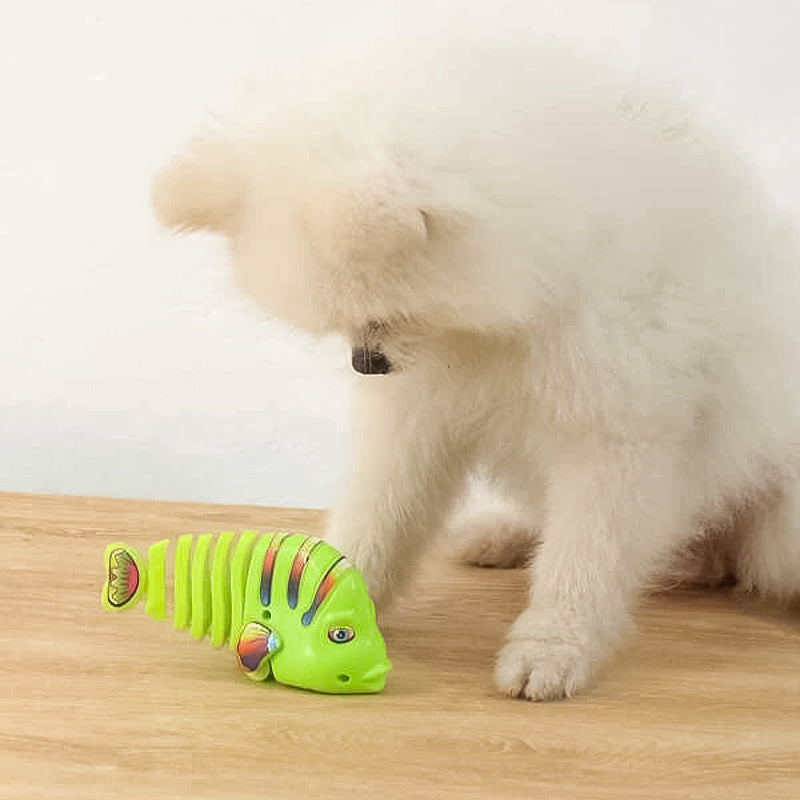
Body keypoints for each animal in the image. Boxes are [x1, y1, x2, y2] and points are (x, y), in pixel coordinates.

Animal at [152, 39, 800, 700]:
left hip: (779, 530)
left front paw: (550, 649)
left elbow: (584, 556)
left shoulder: (618, 427)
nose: (366, 364)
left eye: (389, 316)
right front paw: (325, 588)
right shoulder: (421, 408)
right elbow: (381, 508)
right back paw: (505, 534)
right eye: (347, 328)